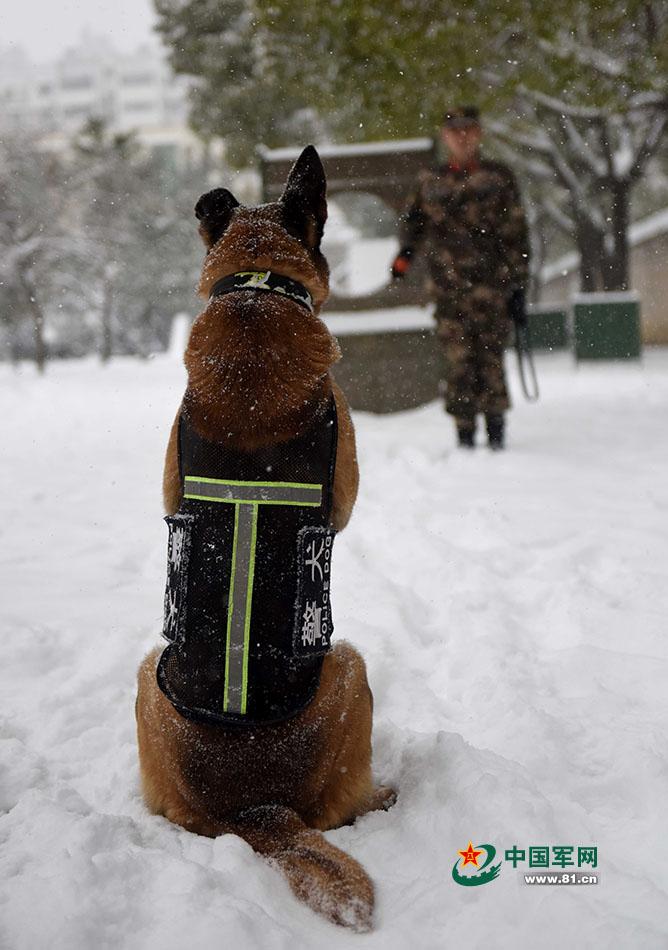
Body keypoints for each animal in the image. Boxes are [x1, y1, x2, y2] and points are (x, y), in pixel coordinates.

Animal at [137, 145, 396, 932]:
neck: (256, 286)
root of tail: (253, 809)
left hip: (144, 676)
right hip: (349, 665)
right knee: (341, 811)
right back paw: (383, 794)